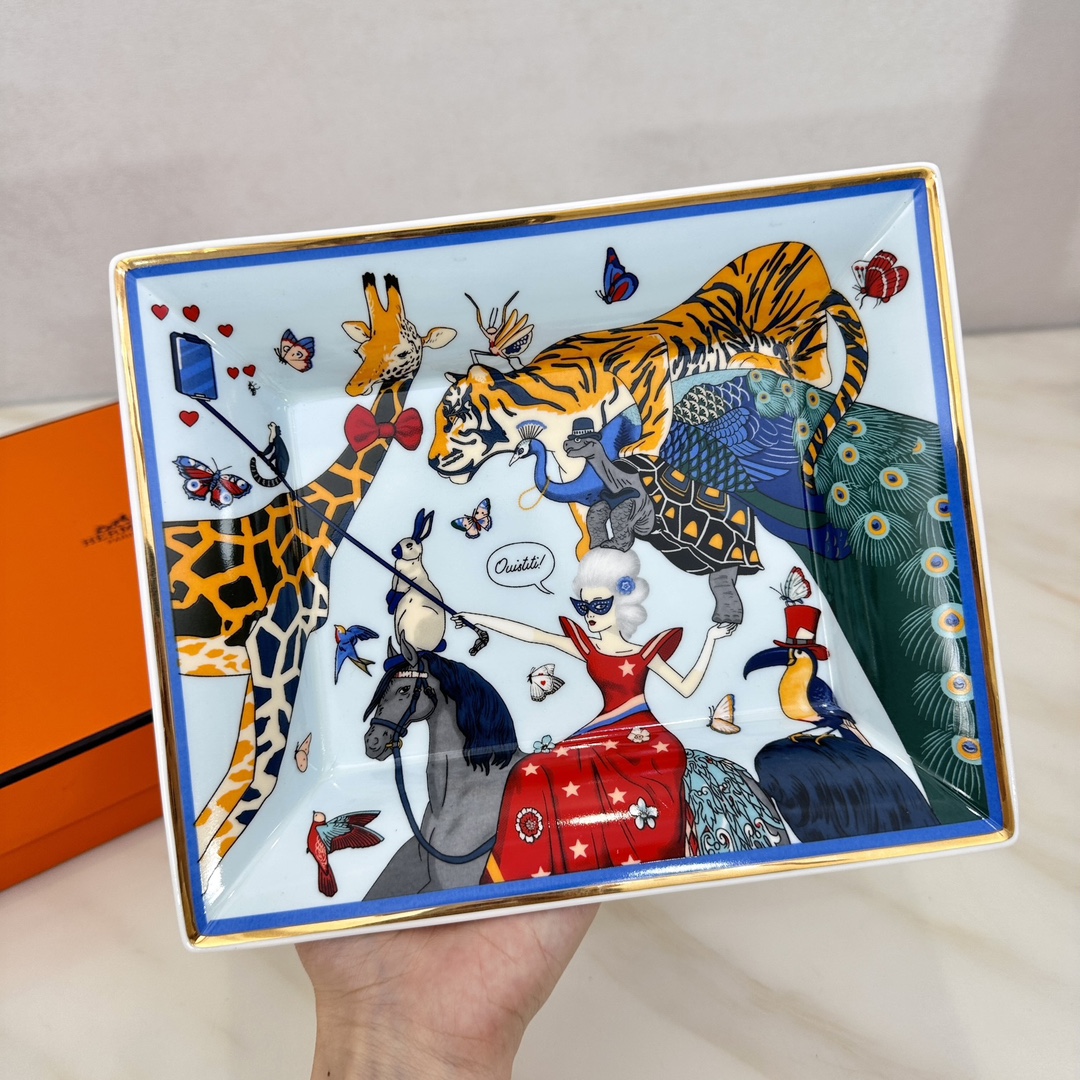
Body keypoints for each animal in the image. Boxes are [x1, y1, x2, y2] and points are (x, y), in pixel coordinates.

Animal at [165, 273, 456, 889]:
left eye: (404, 345)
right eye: (363, 340)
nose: (356, 383)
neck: (317, 521)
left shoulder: (264, 654)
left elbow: (231, 785)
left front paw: (210, 877)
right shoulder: (278, 643)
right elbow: (262, 779)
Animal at [429, 241, 869, 524]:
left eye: (451, 418)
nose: (431, 462)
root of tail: (811, 254)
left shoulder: (644, 354)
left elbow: (655, 407)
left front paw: (643, 447)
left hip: (793, 325)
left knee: (816, 370)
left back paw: (750, 358)